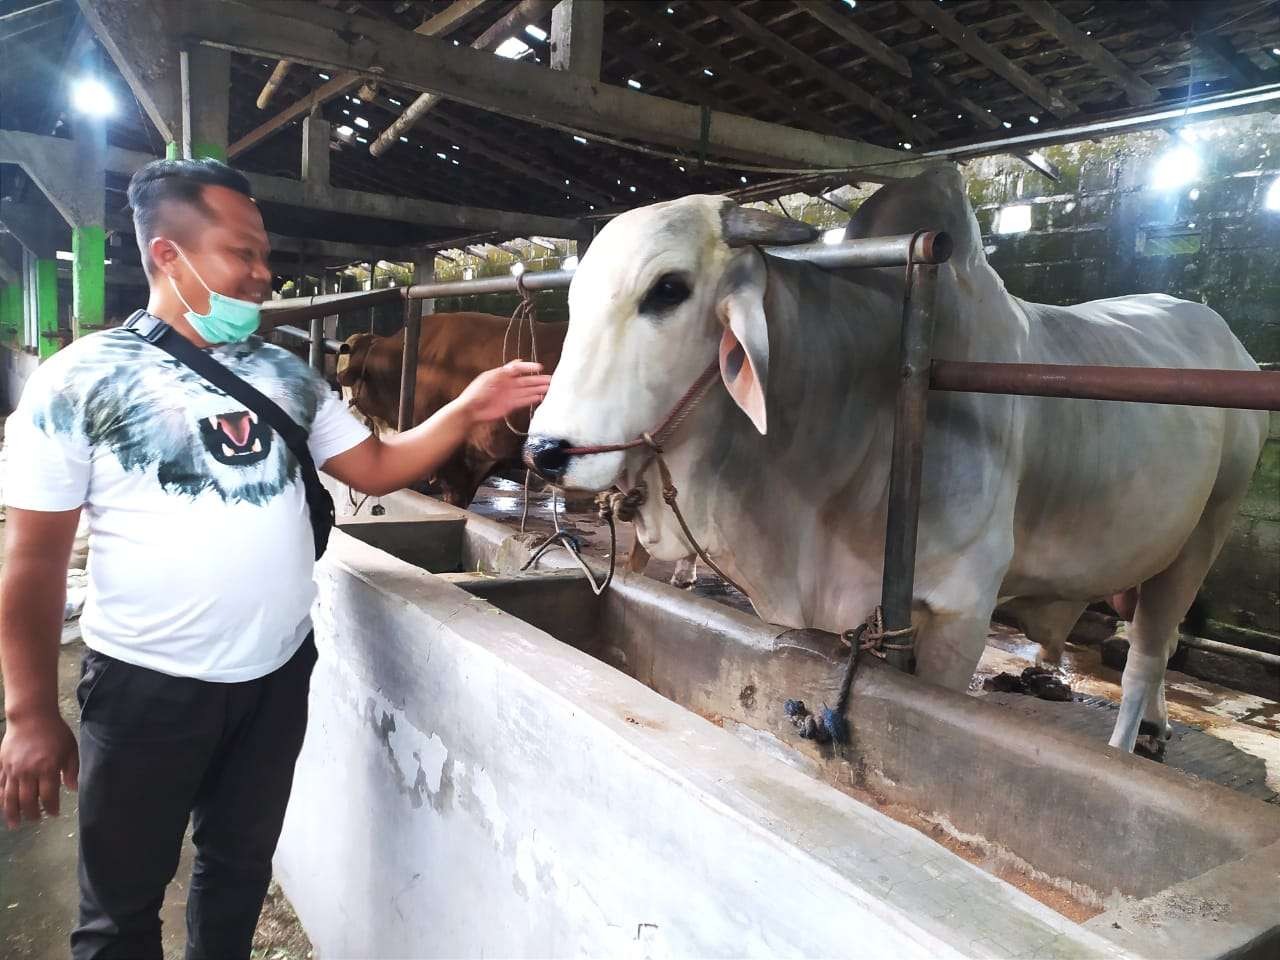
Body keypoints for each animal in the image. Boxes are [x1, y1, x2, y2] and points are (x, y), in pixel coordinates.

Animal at [522, 165, 1269, 757]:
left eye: (668, 289)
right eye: (574, 299)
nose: (545, 451)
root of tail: (1225, 337)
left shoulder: (961, 609)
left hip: (1206, 532)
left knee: (1146, 655)